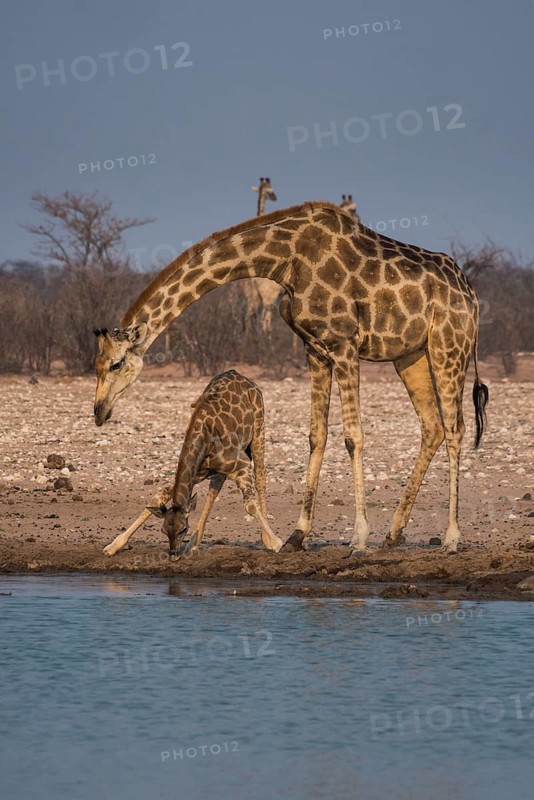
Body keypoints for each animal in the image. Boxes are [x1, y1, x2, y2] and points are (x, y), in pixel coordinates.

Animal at [102, 370, 283, 556]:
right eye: (163, 530)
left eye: (183, 529)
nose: (174, 553)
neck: (204, 441)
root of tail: (241, 376)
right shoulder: (197, 471)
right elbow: (160, 495)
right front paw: (114, 545)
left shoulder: (242, 465)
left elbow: (250, 505)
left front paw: (275, 542)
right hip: (219, 469)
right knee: (214, 490)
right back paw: (193, 544)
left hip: (259, 428)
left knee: (260, 475)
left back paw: (264, 538)